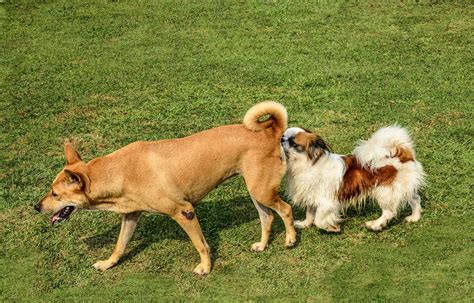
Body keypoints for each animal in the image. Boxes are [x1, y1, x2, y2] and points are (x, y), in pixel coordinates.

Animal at [35, 101, 296, 276]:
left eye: (55, 194)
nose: (36, 206)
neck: (119, 171)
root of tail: (270, 130)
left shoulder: (185, 212)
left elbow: (201, 244)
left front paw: (205, 267)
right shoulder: (131, 216)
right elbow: (119, 245)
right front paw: (108, 263)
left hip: (261, 190)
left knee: (285, 209)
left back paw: (291, 239)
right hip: (256, 191)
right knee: (267, 217)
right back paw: (262, 245)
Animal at [282, 126, 426, 233]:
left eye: (293, 143)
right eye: (284, 136)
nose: (282, 138)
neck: (308, 164)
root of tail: (403, 154)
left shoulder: (327, 202)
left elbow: (319, 220)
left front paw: (332, 228)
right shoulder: (311, 197)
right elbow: (310, 214)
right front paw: (304, 224)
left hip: (384, 192)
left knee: (389, 212)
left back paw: (376, 225)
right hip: (401, 187)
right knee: (415, 199)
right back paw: (414, 217)